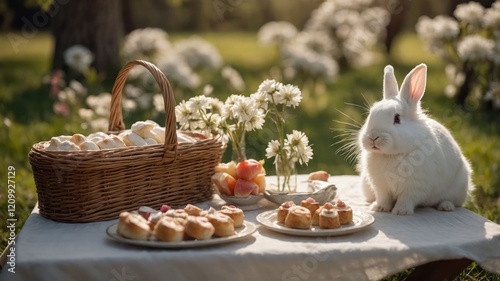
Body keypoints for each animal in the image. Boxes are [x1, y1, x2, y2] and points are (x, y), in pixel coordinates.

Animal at [358, 63, 474, 214]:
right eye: (370, 114)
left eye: (397, 118)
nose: (373, 137)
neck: (392, 155)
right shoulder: (381, 186)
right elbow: (384, 198)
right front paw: (379, 208)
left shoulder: (415, 187)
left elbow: (406, 199)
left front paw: (401, 211)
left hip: (458, 188)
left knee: (453, 201)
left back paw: (446, 206)